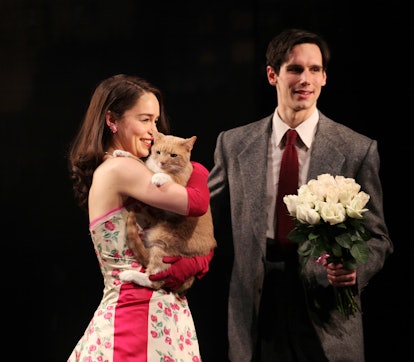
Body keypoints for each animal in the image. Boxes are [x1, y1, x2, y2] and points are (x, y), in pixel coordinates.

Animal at [119, 130, 217, 294]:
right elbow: (141, 162)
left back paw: (129, 275)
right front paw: (123, 153)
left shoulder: (183, 186)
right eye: (158, 152)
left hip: (161, 243)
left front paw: (159, 176)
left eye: (173, 155)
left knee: (155, 280)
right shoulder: (147, 166)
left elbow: (171, 176)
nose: (162, 163)